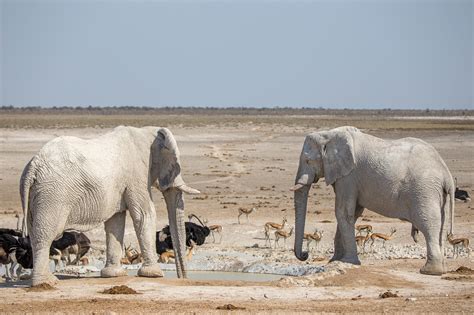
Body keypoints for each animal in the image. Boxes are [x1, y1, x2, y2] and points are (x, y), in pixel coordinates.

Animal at [19, 126, 198, 286]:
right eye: (175, 163)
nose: (183, 278)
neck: (146, 131)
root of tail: (32, 167)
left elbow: (115, 221)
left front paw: (113, 274)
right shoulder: (137, 174)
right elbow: (144, 215)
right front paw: (154, 274)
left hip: (37, 195)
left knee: (35, 233)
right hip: (53, 195)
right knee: (46, 234)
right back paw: (46, 282)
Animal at [292, 127, 456, 276]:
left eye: (308, 161)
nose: (305, 255)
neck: (329, 134)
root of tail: (446, 173)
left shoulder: (349, 176)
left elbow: (343, 212)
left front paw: (349, 262)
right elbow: (353, 213)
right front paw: (335, 261)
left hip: (424, 190)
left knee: (428, 223)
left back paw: (430, 271)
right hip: (437, 193)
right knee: (441, 226)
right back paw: (442, 269)